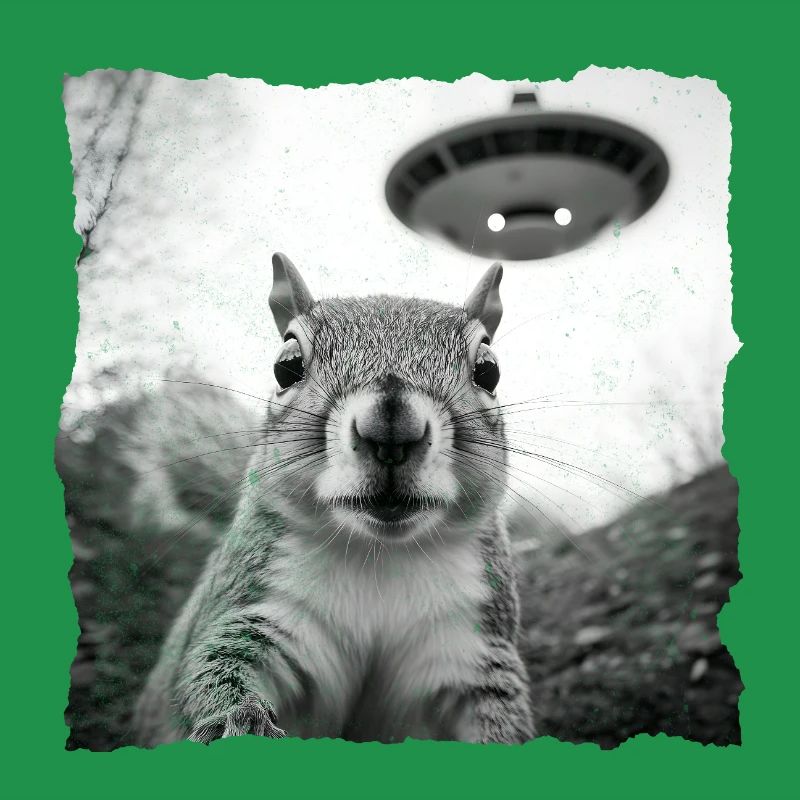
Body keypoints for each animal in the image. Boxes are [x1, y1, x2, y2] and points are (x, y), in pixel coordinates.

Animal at [133, 252, 535, 746]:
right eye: (286, 366)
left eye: (488, 370)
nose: (391, 428)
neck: (381, 555)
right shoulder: (260, 609)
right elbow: (215, 666)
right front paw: (238, 721)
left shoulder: (469, 645)